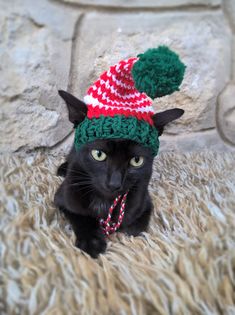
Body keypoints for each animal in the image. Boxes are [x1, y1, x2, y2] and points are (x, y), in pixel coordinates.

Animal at [53, 90, 184, 258]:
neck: (105, 201)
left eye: (136, 160)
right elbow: (82, 217)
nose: (114, 183)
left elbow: (135, 229)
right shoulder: (63, 199)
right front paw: (92, 243)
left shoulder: (145, 202)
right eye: (98, 154)